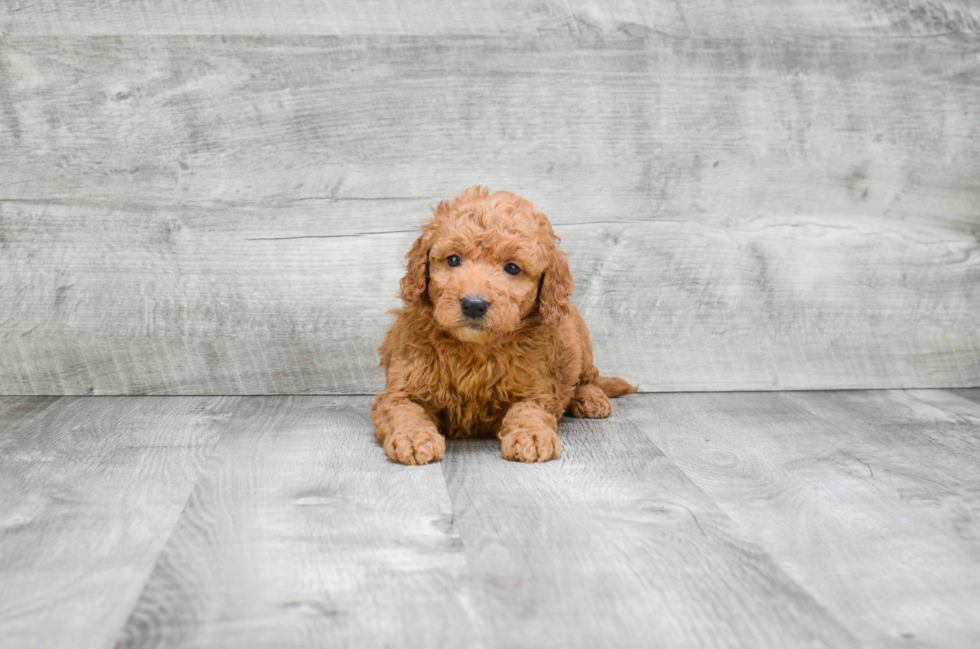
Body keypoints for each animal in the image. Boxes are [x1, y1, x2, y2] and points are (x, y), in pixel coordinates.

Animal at [372, 185, 640, 464]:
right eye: (453, 260)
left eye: (512, 268)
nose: (474, 304)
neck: (474, 351)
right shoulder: (401, 390)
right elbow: (404, 411)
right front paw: (413, 437)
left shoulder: (537, 389)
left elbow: (529, 411)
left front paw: (532, 436)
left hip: (581, 342)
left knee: (588, 377)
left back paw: (591, 398)